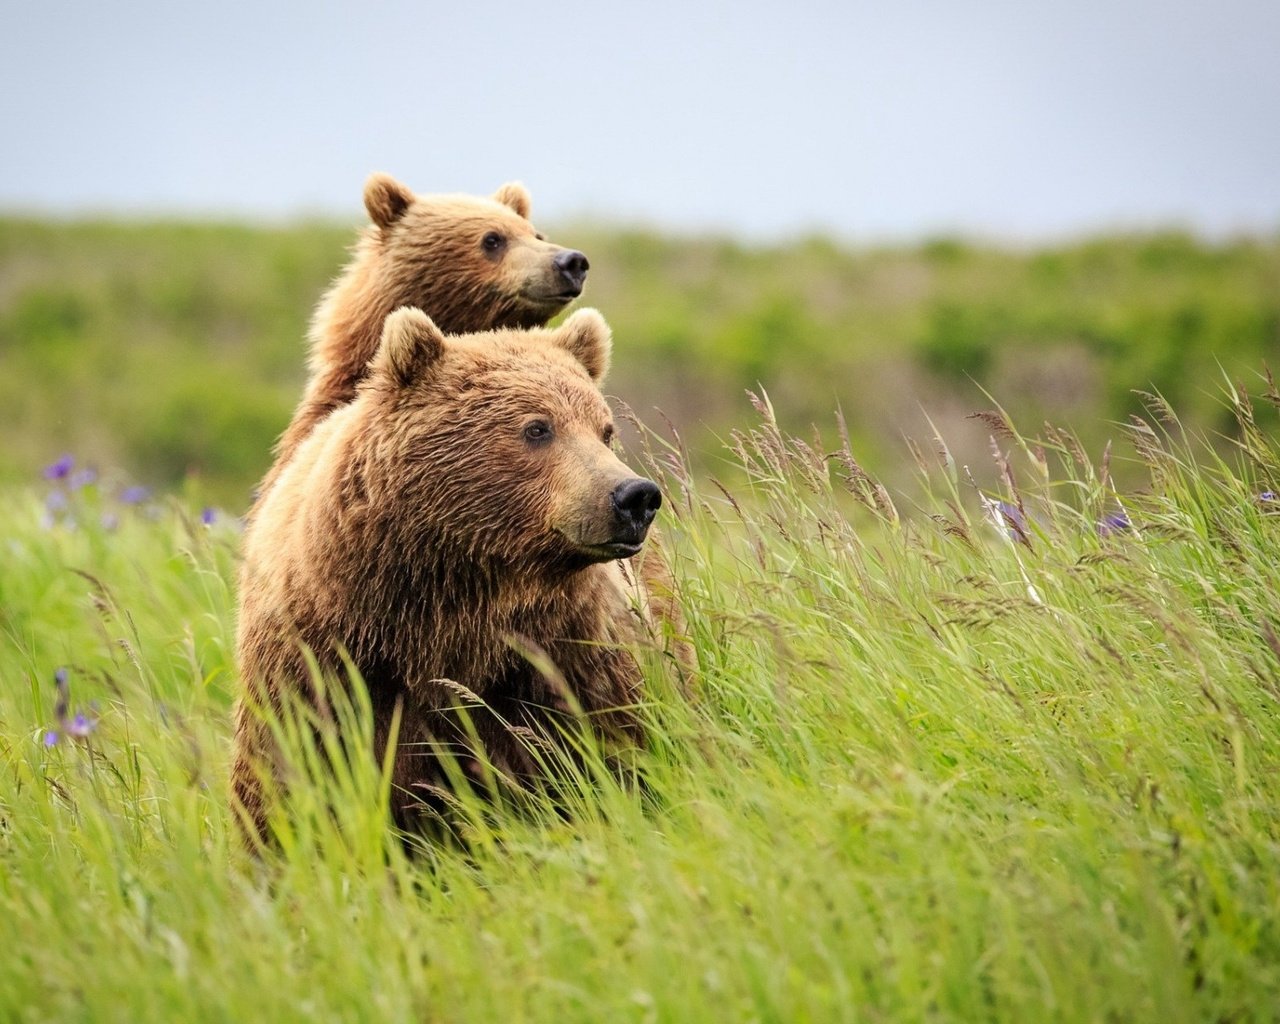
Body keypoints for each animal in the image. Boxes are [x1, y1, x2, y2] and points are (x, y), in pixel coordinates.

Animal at [231, 308, 665, 834]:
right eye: (538, 428)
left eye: (604, 430)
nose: (634, 496)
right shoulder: (324, 660)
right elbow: (291, 772)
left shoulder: (564, 649)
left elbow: (612, 744)